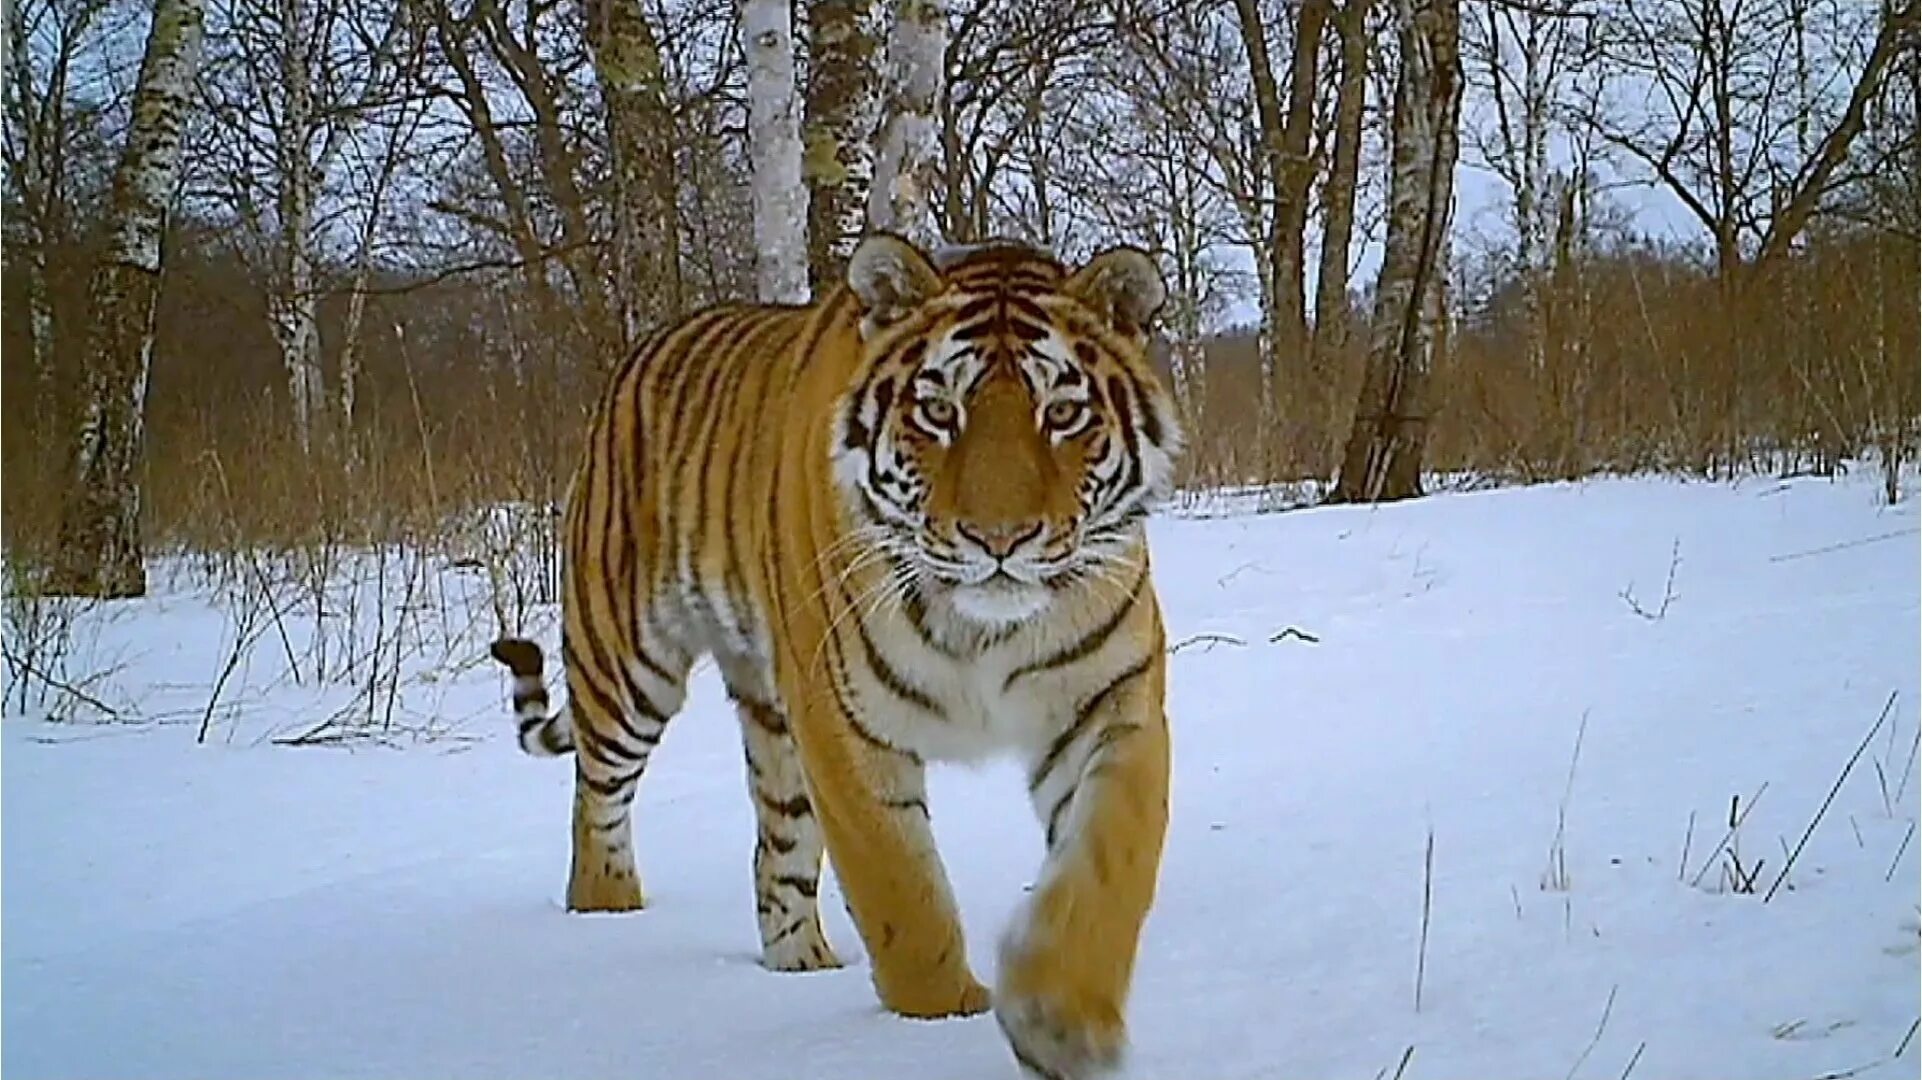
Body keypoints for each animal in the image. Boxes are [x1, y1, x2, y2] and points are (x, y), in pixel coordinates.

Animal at [492, 235, 1183, 1076]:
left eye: (1063, 413)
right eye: (938, 412)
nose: (1000, 541)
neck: (987, 630)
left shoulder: (1111, 707)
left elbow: (1109, 864)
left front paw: (1063, 1019)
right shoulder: (845, 723)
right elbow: (903, 893)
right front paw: (939, 1018)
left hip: (771, 721)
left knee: (776, 850)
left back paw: (801, 962)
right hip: (628, 668)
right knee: (595, 801)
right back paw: (608, 909)